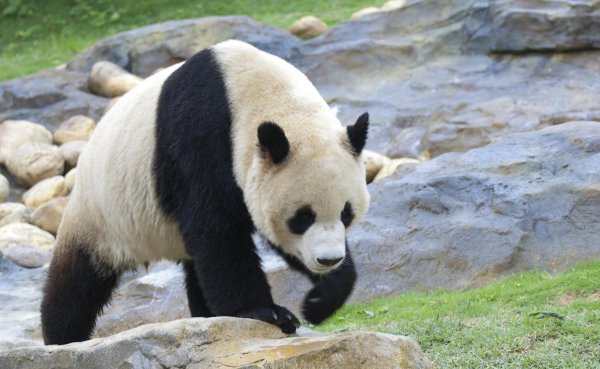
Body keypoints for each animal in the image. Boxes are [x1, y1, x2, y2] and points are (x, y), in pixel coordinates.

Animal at [39, 38, 370, 344]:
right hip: (101, 213)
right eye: (302, 217)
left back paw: (209, 316)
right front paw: (266, 313)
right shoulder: (200, 139)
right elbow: (216, 229)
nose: (328, 260)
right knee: (77, 282)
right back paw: (63, 338)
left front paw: (320, 299)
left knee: (197, 269)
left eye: (346, 213)